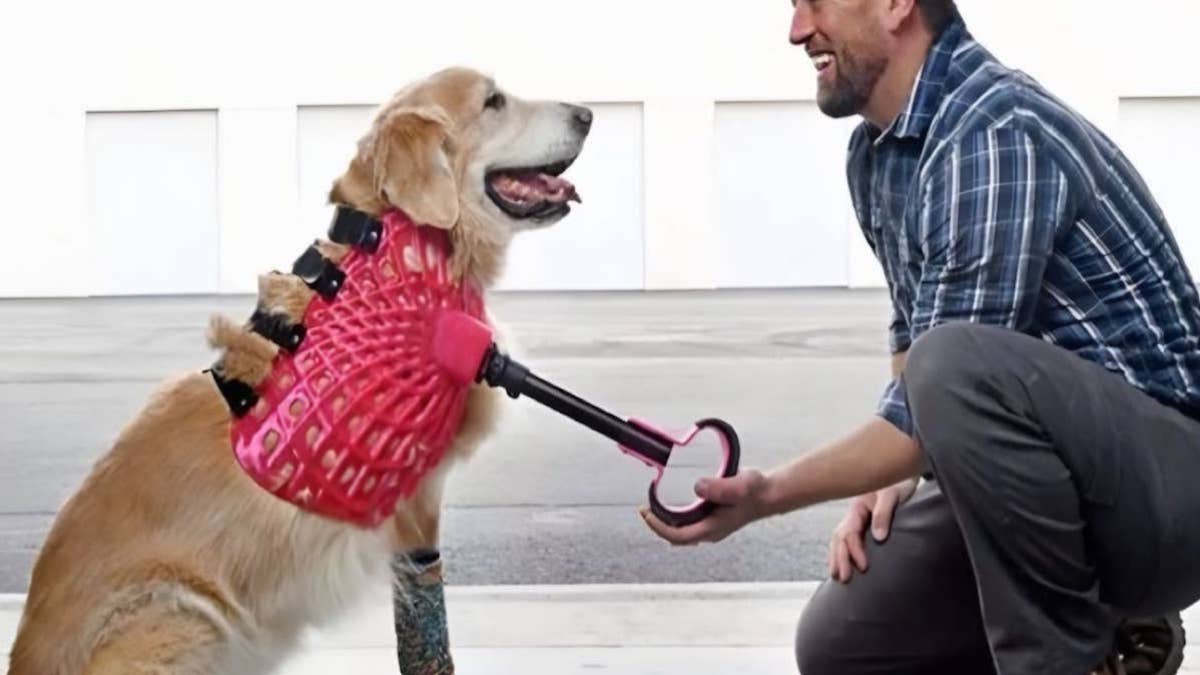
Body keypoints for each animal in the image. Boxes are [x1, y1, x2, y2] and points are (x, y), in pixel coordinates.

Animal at [9, 66, 590, 672]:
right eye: (493, 102)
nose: (588, 114)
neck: (406, 250)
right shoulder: (416, 502)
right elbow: (426, 615)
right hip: (184, 615)